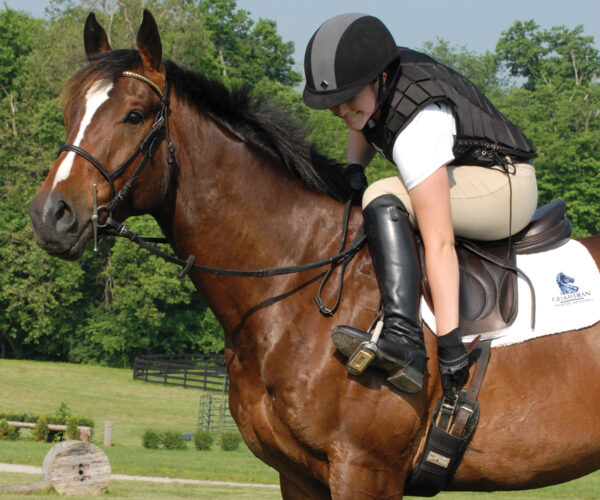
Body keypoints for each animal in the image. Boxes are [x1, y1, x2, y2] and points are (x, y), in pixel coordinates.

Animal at [29, 9, 600, 498]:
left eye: (135, 114)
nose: (50, 216)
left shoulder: (365, 471)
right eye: (69, 112)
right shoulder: (299, 476)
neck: (290, 286)